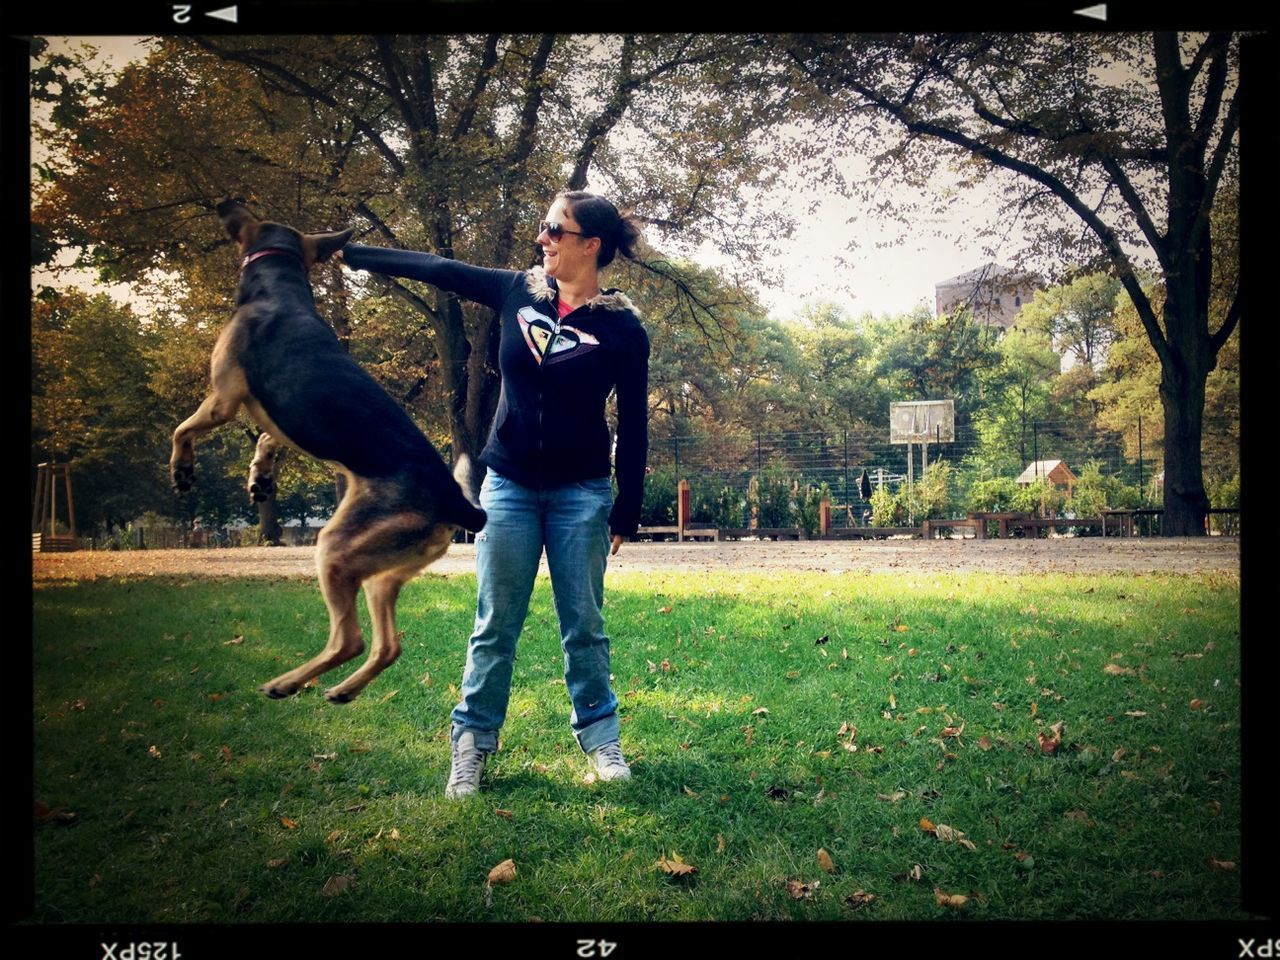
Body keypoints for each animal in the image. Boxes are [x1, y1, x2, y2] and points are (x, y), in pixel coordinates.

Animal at [168, 199, 483, 701]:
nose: (225, 205)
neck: (281, 286)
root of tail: (455, 501)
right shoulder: (270, 414)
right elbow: (267, 439)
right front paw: (260, 477)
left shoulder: (224, 397)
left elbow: (184, 428)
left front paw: (181, 470)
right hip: (382, 571)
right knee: (388, 646)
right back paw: (342, 689)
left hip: (336, 548)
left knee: (350, 640)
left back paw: (287, 683)